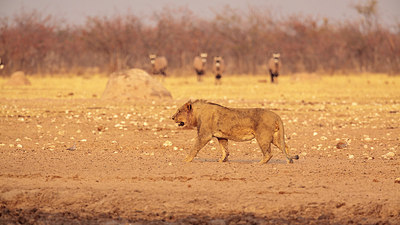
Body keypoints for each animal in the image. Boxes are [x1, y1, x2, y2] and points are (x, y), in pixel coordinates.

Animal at [170, 99, 298, 164]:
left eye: (179, 111)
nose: (172, 117)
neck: (197, 114)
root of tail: (277, 115)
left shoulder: (204, 135)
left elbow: (194, 148)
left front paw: (186, 160)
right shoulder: (221, 136)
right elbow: (224, 149)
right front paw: (222, 160)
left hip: (263, 137)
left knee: (268, 154)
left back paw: (259, 163)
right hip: (275, 137)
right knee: (286, 147)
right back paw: (290, 160)